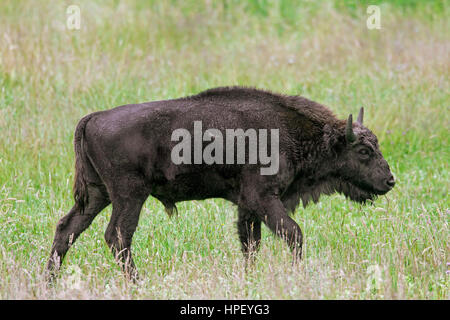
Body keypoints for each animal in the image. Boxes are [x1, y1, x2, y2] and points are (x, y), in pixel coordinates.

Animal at [47, 86, 396, 278]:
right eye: (364, 151)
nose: (390, 180)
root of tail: (92, 118)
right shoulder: (263, 199)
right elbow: (293, 234)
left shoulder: (247, 207)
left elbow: (250, 245)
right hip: (129, 195)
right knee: (117, 236)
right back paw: (138, 283)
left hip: (98, 196)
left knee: (67, 229)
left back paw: (49, 282)